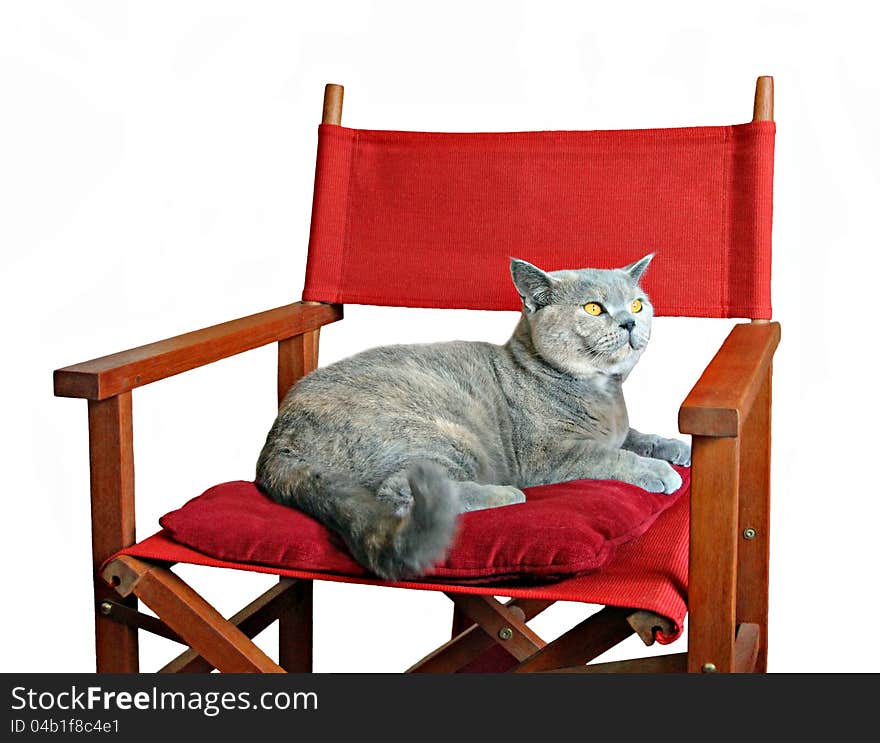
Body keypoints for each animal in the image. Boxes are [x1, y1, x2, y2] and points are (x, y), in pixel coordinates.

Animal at [258, 256, 692, 580]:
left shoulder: (618, 430)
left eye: (637, 304)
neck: (604, 394)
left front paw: (676, 447)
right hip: (442, 434)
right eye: (593, 308)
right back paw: (505, 494)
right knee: (401, 493)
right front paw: (659, 471)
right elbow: (613, 455)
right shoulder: (551, 456)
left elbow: (635, 437)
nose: (630, 321)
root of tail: (276, 443)